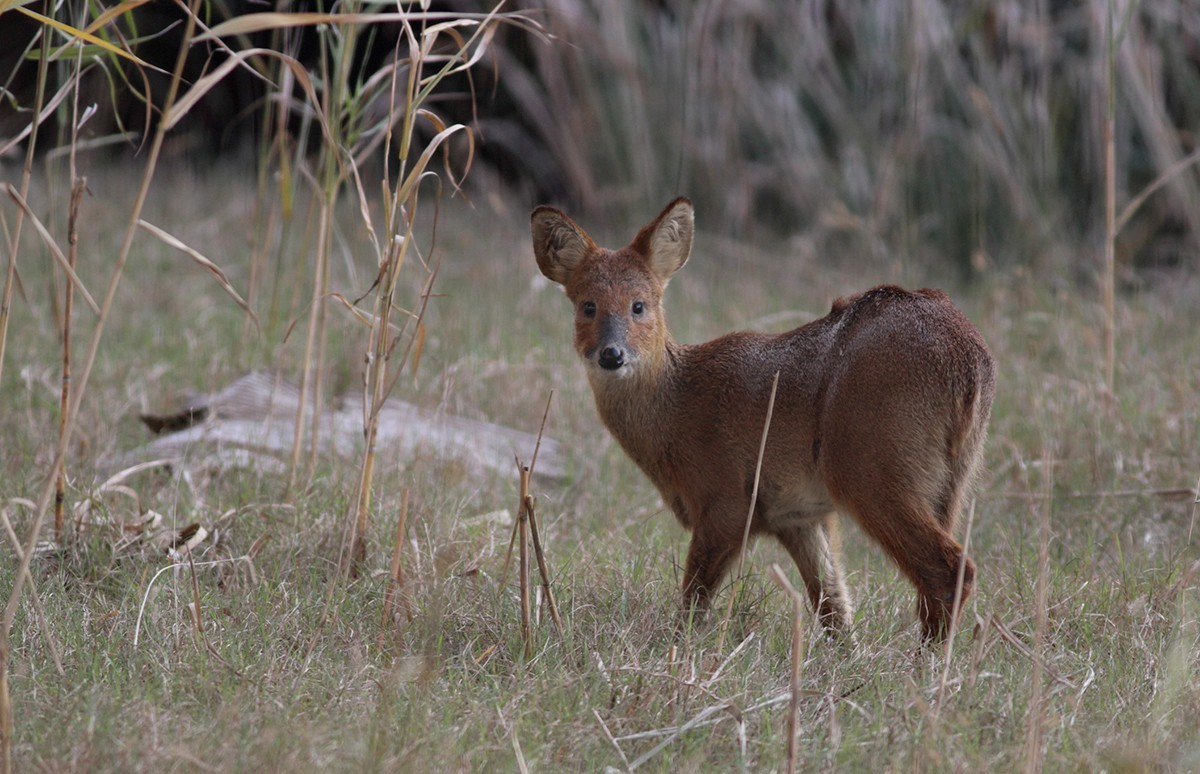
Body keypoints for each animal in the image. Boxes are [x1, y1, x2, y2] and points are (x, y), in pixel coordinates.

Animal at [532, 196, 993, 638]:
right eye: (587, 306)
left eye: (639, 306)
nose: (612, 354)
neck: (677, 407)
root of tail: (967, 361)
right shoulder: (798, 514)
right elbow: (833, 608)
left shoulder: (727, 499)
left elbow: (693, 602)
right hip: (949, 484)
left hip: (871, 467)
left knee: (950, 570)